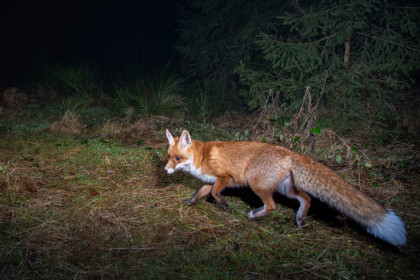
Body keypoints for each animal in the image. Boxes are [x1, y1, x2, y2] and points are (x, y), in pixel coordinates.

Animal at [164, 130, 406, 246]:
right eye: (168, 157)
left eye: (177, 158)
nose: (165, 171)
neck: (201, 157)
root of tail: (290, 152)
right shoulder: (209, 180)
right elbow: (201, 193)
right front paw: (190, 202)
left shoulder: (225, 177)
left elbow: (215, 194)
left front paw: (223, 204)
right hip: (286, 189)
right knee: (306, 198)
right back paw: (299, 219)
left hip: (257, 185)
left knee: (272, 206)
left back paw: (255, 214)